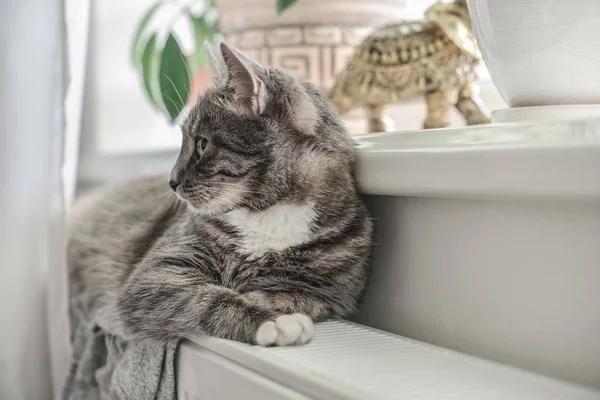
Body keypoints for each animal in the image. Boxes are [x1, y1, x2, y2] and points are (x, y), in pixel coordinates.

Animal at [68, 42, 372, 346]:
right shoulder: (159, 273)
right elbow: (209, 299)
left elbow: (295, 298)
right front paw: (272, 322)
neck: (265, 212)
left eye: (202, 143)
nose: (171, 181)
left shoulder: (332, 295)